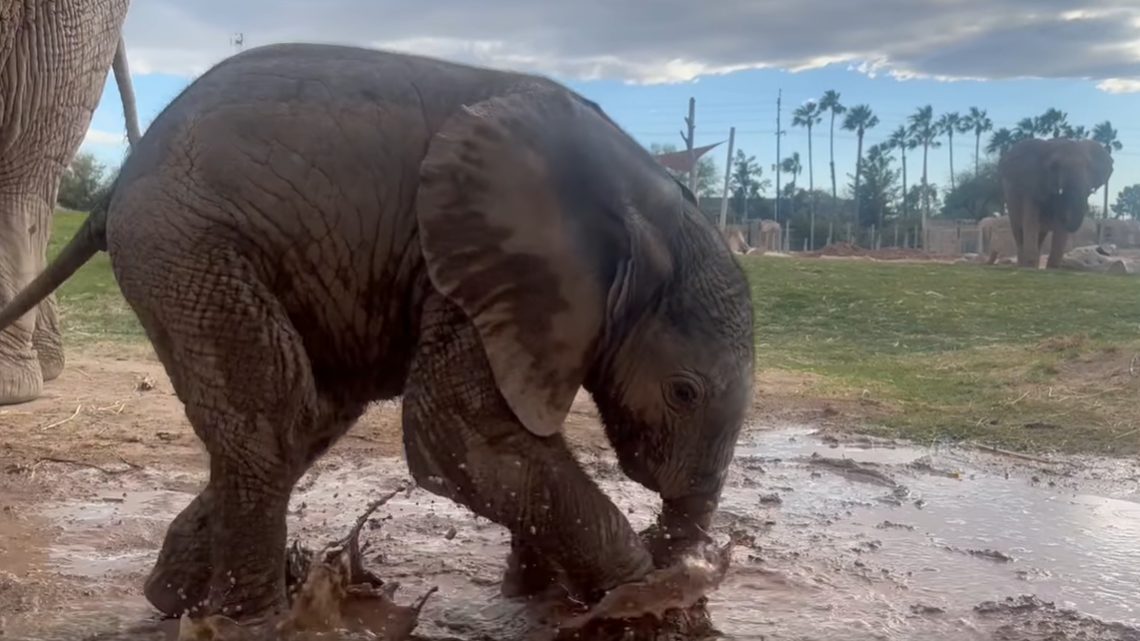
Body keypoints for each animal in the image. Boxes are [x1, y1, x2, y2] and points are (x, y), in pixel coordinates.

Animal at [0, 43, 756, 624]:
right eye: (683, 392)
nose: (693, 563)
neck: (642, 205)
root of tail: (116, 185)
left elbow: (502, 437)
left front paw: (546, 600)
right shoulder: (478, 267)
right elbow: (458, 434)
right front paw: (650, 603)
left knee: (309, 416)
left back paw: (174, 601)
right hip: (186, 240)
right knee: (273, 421)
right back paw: (254, 622)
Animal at [997, 137, 1113, 269]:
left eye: (1089, 167)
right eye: (1054, 166)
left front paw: (1052, 268)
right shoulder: (1030, 187)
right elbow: (1031, 223)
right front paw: (1029, 267)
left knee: (1040, 236)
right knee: (1019, 233)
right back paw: (1023, 265)